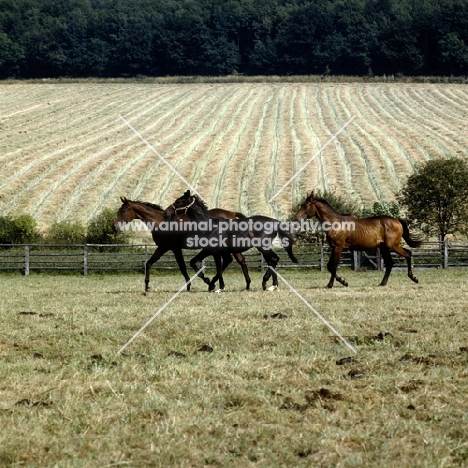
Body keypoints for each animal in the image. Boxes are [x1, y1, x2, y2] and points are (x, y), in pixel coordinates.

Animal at [111, 197, 250, 292]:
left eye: (123, 211)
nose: (114, 227)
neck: (161, 222)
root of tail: (232, 214)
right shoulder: (163, 247)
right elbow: (149, 263)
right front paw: (146, 286)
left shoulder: (175, 248)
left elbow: (182, 267)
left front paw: (190, 285)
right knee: (232, 260)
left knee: (238, 260)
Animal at [163, 190, 298, 292]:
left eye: (179, 201)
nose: (166, 213)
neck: (210, 226)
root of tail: (276, 221)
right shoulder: (210, 250)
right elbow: (193, 262)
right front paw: (209, 282)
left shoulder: (215, 252)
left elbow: (218, 268)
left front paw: (219, 287)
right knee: (272, 261)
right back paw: (272, 285)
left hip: (263, 247)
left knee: (274, 259)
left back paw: (266, 283)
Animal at [296, 192, 424, 288]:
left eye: (306, 205)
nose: (297, 218)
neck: (335, 223)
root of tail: (397, 220)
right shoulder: (334, 248)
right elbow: (329, 266)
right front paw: (341, 282)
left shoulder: (338, 247)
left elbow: (333, 266)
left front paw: (334, 284)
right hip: (384, 247)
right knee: (390, 263)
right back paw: (382, 283)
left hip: (393, 245)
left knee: (408, 254)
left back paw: (414, 278)